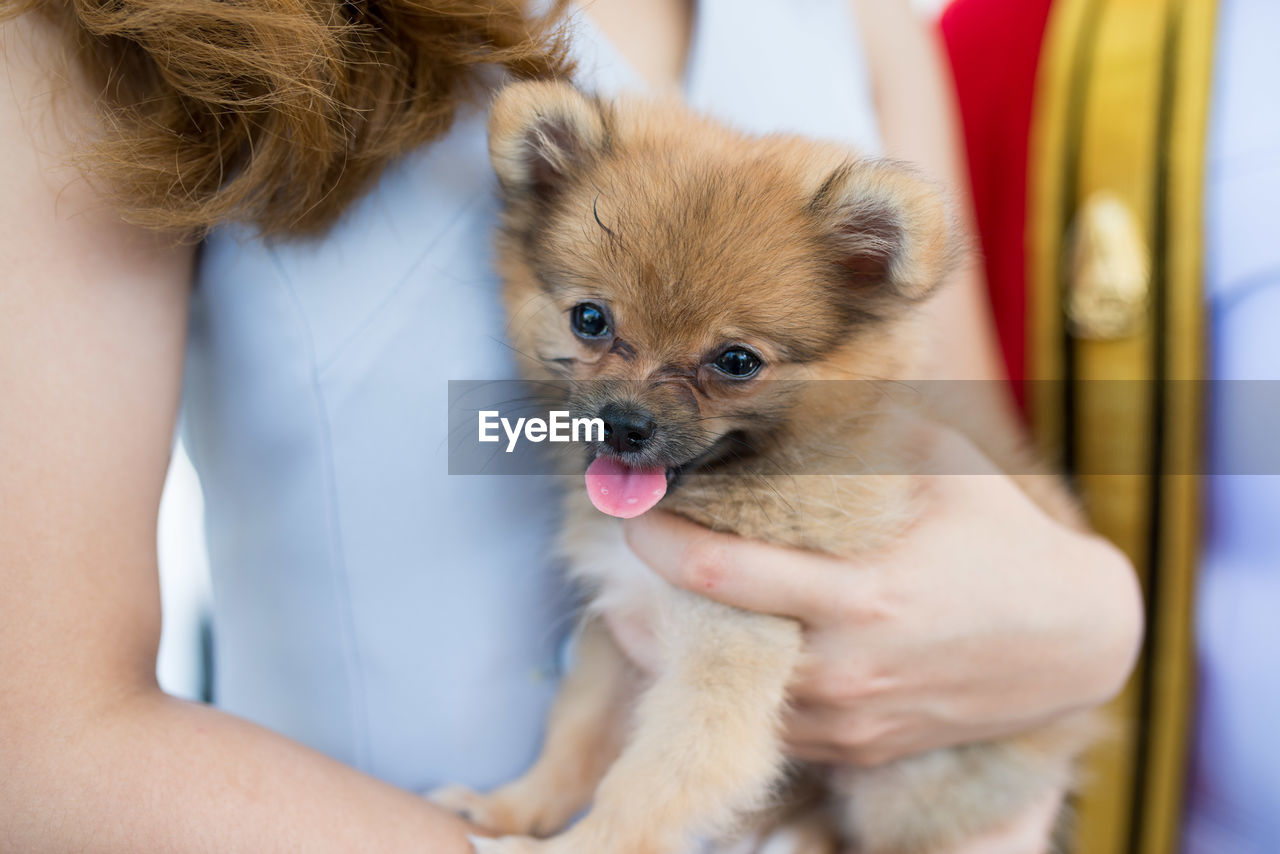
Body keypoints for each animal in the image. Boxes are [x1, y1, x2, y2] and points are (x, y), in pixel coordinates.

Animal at [435, 80, 1095, 854]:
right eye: (590, 320)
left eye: (736, 362)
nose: (624, 423)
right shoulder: (621, 629)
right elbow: (576, 735)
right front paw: (510, 808)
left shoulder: (727, 654)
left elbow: (647, 785)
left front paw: (563, 846)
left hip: (909, 779)